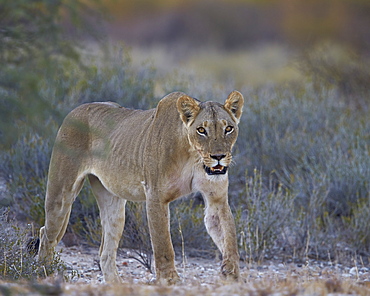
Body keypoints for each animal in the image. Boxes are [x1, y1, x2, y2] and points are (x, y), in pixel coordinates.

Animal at [39, 91, 244, 284]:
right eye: (201, 130)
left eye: (228, 128)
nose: (218, 156)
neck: (193, 155)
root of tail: (74, 111)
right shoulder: (155, 197)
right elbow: (163, 245)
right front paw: (170, 280)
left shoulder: (216, 198)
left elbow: (228, 237)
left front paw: (231, 273)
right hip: (61, 196)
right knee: (47, 234)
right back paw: (43, 272)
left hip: (113, 204)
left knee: (105, 251)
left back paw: (116, 285)